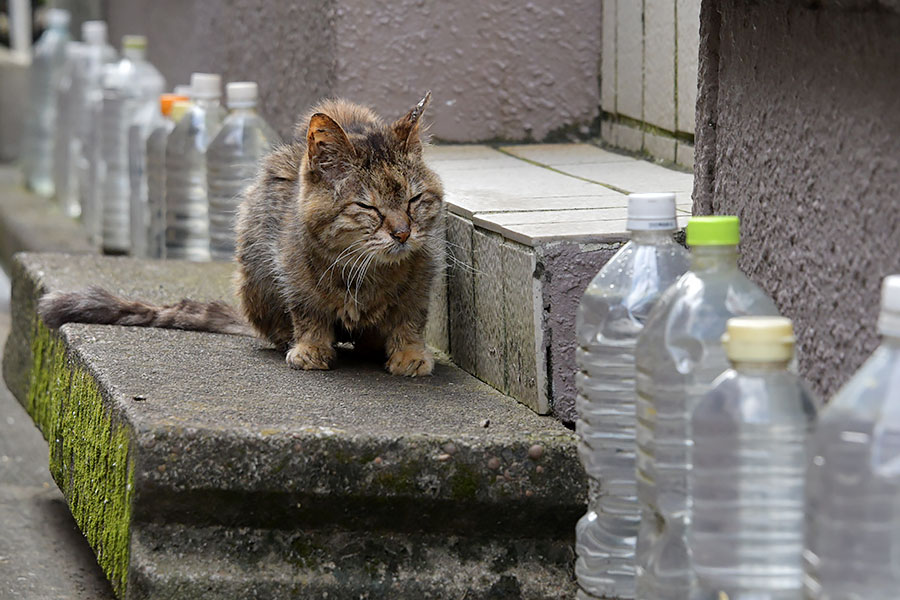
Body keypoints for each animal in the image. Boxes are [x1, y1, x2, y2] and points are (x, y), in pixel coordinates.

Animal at [38, 92, 446, 376]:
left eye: (414, 200)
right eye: (368, 207)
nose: (403, 233)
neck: (366, 272)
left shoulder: (424, 275)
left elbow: (411, 317)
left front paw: (410, 354)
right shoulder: (292, 273)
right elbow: (308, 313)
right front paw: (311, 348)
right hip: (256, 269)